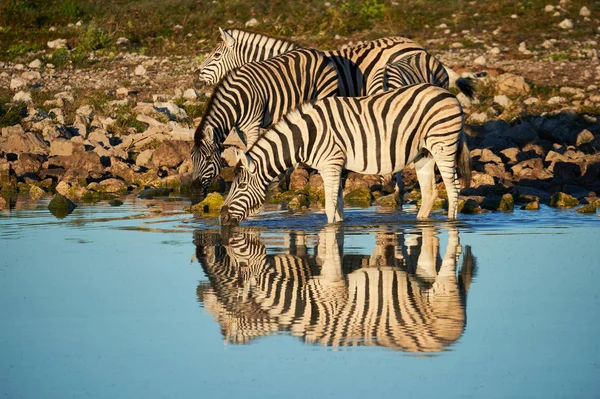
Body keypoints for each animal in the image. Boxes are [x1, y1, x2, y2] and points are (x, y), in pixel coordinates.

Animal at [192, 47, 342, 195]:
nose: (195, 189)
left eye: (208, 158)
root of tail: (318, 52)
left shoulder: (252, 126)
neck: (236, 101)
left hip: (324, 94)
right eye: (192, 158)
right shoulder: (241, 130)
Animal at [218, 83, 472, 227]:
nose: (221, 218)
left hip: (443, 144)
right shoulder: (335, 166)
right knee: (429, 193)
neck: (306, 136)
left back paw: (451, 222)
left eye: (240, 187)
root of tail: (448, 93)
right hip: (423, 153)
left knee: (452, 188)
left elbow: (330, 208)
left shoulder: (331, 163)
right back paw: (420, 223)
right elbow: (338, 205)